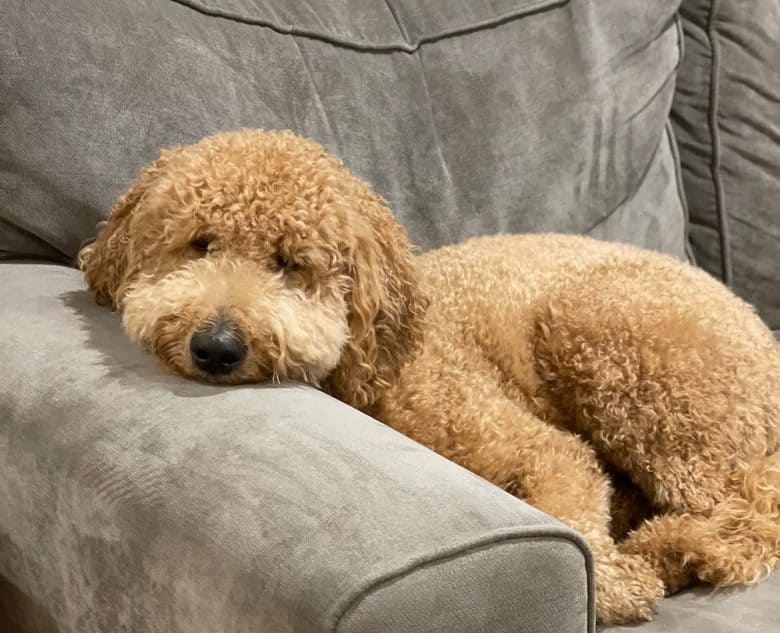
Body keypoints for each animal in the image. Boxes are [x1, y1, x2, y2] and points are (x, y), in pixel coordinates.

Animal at [76, 128, 776, 624]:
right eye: (199, 244)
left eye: (290, 263)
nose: (216, 347)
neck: (374, 367)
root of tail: (762, 337)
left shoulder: (546, 451)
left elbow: (580, 523)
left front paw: (619, 583)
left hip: (620, 348)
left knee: (748, 513)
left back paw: (674, 549)